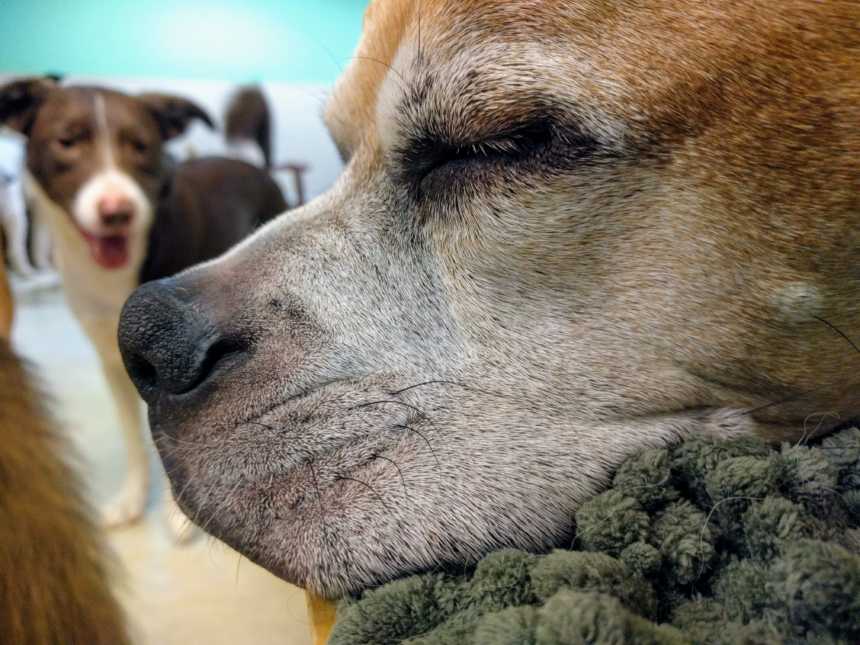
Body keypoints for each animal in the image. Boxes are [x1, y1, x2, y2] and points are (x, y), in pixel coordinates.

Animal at [0, 78, 288, 536]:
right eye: (67, 141)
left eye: (140, 146)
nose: (117, 211)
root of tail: (248, 163)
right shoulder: (111, 359)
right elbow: (134, 440)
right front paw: (130, 499)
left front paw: (181, 517)